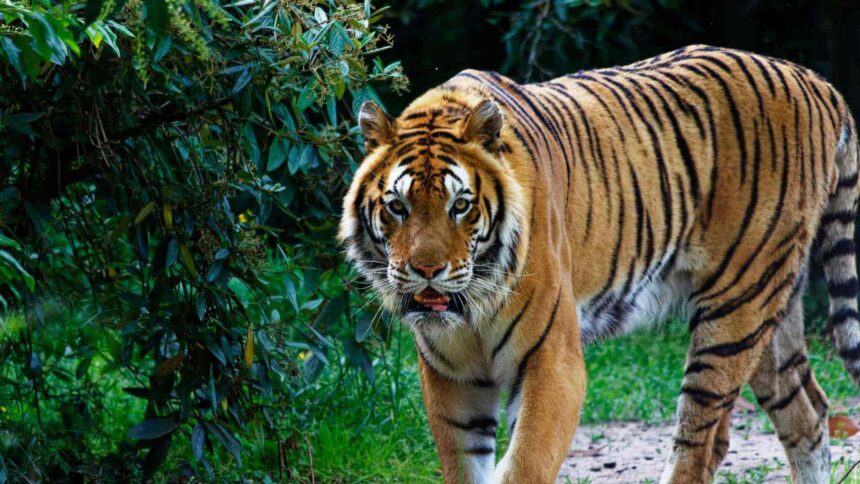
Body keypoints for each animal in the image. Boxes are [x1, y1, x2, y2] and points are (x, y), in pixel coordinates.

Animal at [339, 44, 860, 483]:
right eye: (398, 207)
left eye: (460, 206)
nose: (427, 272)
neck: (470, 310)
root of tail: (817, 82)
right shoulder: (452, 378)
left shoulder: (553, 362)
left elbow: (525, 464)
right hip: (771, 309)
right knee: (807, 414)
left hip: (736, 309)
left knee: (699, 442)